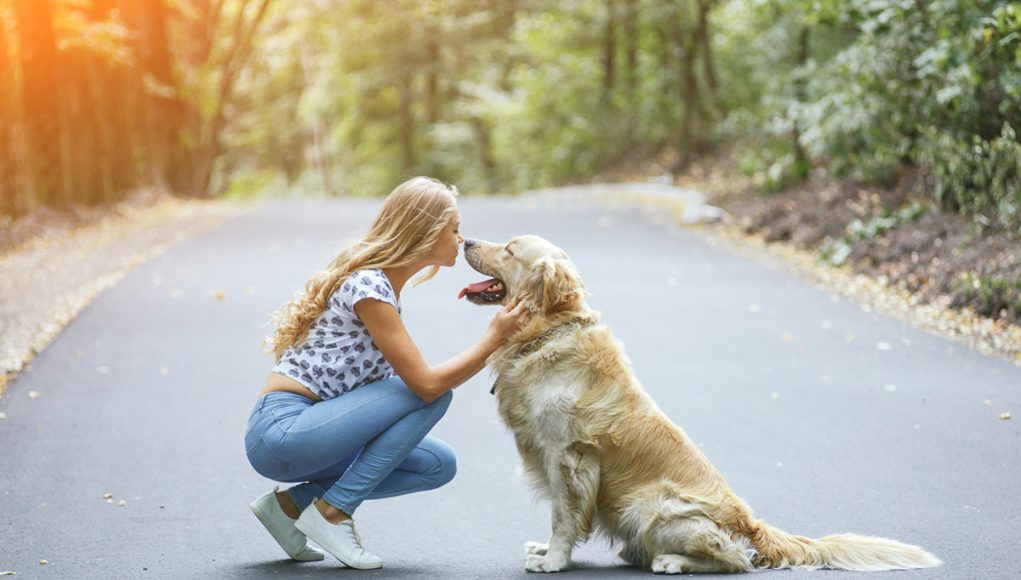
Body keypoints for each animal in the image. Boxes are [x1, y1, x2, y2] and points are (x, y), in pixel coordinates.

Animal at [463, 233, 939, 571]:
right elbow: (561, 515)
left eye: (509, 248)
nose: (466, 240)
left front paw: (554, 560)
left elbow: (563, 516)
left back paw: (672, 561)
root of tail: (752, 525)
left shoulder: (570, 455)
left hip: (652, 503)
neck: (547, 333)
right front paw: (547, 551)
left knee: (736, 559)